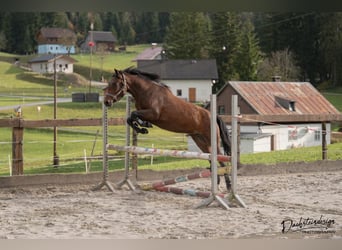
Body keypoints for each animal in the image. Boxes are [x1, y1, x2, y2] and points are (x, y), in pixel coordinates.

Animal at [103, 67, 232, 190]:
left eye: (115, 84)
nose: (106, 102)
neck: (146, 91)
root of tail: (212, 114)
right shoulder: (146, 113)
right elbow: (130, 118)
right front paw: (143, 126)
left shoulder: (153, 114)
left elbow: (134, 114)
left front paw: (143, 127)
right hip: (201, 141)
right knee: (212, 158)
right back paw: (216, 183)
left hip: (211, 140)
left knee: (221, 159)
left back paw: (229, 186)